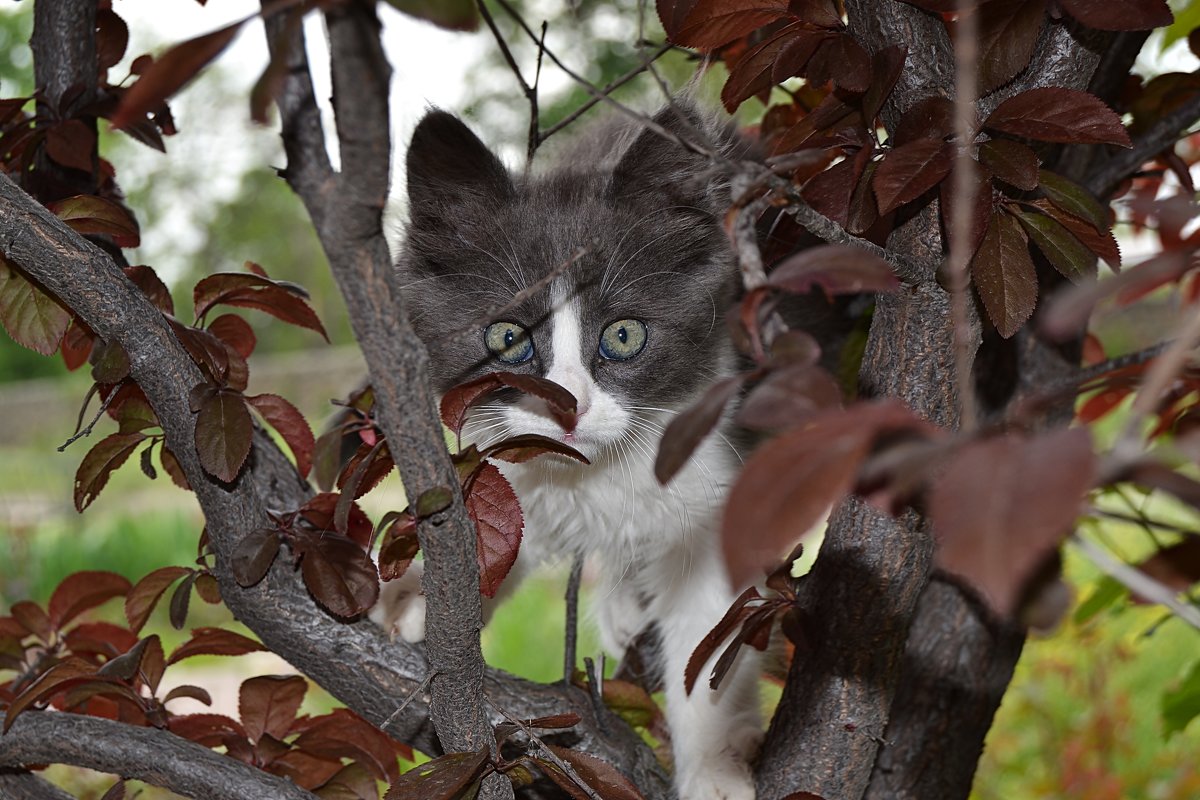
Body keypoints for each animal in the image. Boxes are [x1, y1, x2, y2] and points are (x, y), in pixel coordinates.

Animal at [376, 106, 758, 800]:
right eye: (507, 339)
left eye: (624, 336)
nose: (568, 408)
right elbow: (499, 520)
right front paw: (425, 600)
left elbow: (710, 645)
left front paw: (715, 771)